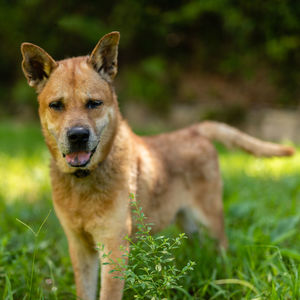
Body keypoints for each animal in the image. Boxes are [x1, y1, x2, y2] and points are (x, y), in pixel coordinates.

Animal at [20, 32, 292, 300]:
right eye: (56, 105)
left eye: (94, 103)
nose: (78, 135)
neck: (83, 181)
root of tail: (194, 130)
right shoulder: (79, 246)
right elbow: (84, 292)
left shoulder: (114, 246)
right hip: (186, 221)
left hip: (210, 218)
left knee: (222, 249)